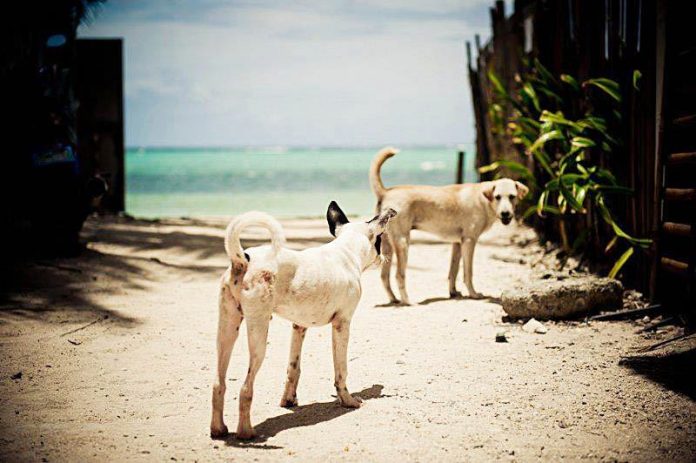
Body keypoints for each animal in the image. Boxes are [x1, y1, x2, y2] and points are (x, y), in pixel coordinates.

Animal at [209, 204, 396, 442]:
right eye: (380, 239)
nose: (386, 257)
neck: (345, 252)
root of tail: (242, 259)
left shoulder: (299, 327)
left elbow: (293, 368)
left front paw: (289, 400)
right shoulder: (342, 324)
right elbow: (341, 370)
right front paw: (348, 401)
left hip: (226, 331)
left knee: (218, 384)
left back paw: (218, 429)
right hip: (258, 334)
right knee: (245, 388)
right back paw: (246, 432)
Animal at [370, 147, 528, 306]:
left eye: (512, 196)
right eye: (498, 197)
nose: (505, 213)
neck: (482, 199)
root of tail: (386, 191)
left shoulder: (457, 243)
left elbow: (454, 270)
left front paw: (453, 292)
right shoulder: (469, 241)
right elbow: (468, 272)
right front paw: (473, 294)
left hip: (387, 246)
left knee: (384, 276)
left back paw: (394, 299)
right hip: (403, 242)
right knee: (399, 275)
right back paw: (407, 301)